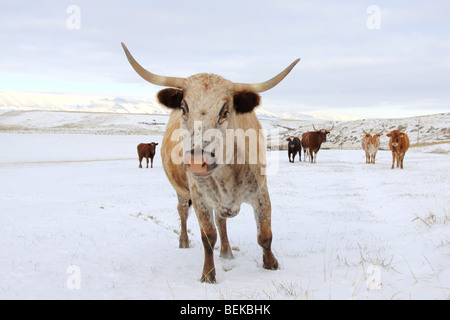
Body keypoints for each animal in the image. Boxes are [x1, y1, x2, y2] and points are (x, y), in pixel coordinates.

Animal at [121, 42, 300, 282]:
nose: (197, 161)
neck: (226, 174)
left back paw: (227, 252)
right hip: (182, 192)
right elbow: (208, 237)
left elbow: (264, 234)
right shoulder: (199, 198)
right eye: (184, 108)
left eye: (225, 111)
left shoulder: (261, 192)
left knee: (222, 222)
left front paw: (271, 265)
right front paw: (208, 275)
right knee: (183, 214)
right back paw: (184, 241)